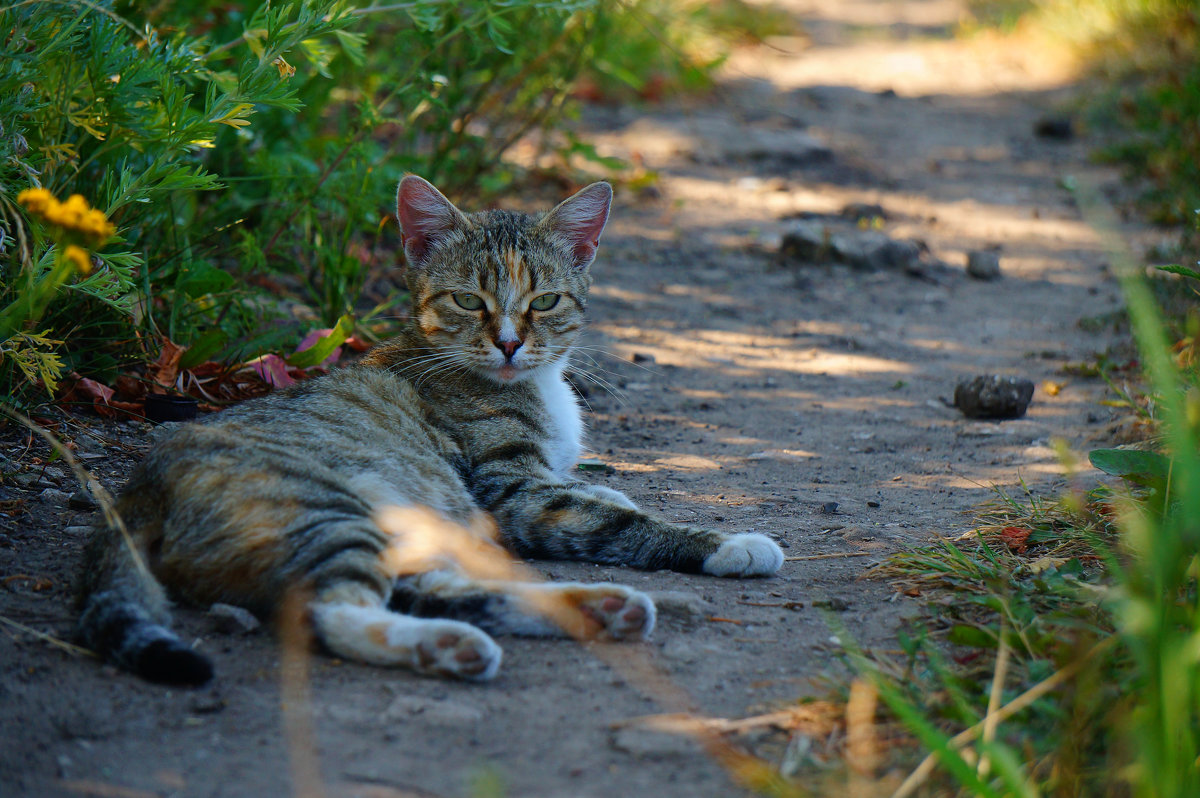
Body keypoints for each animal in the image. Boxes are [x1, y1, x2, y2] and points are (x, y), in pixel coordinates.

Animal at [77, 176, 787, 686]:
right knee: (331, 612)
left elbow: (596, 492)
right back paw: (452, 645)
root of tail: (135, 491)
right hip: (325, 506)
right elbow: (617, 520)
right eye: (468, 300)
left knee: (428, 592)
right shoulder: (513, 492)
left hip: (414, 527)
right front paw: (730, 543)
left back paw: (591, 610)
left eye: (545, 301)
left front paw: (611, 490)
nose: (508, 343)